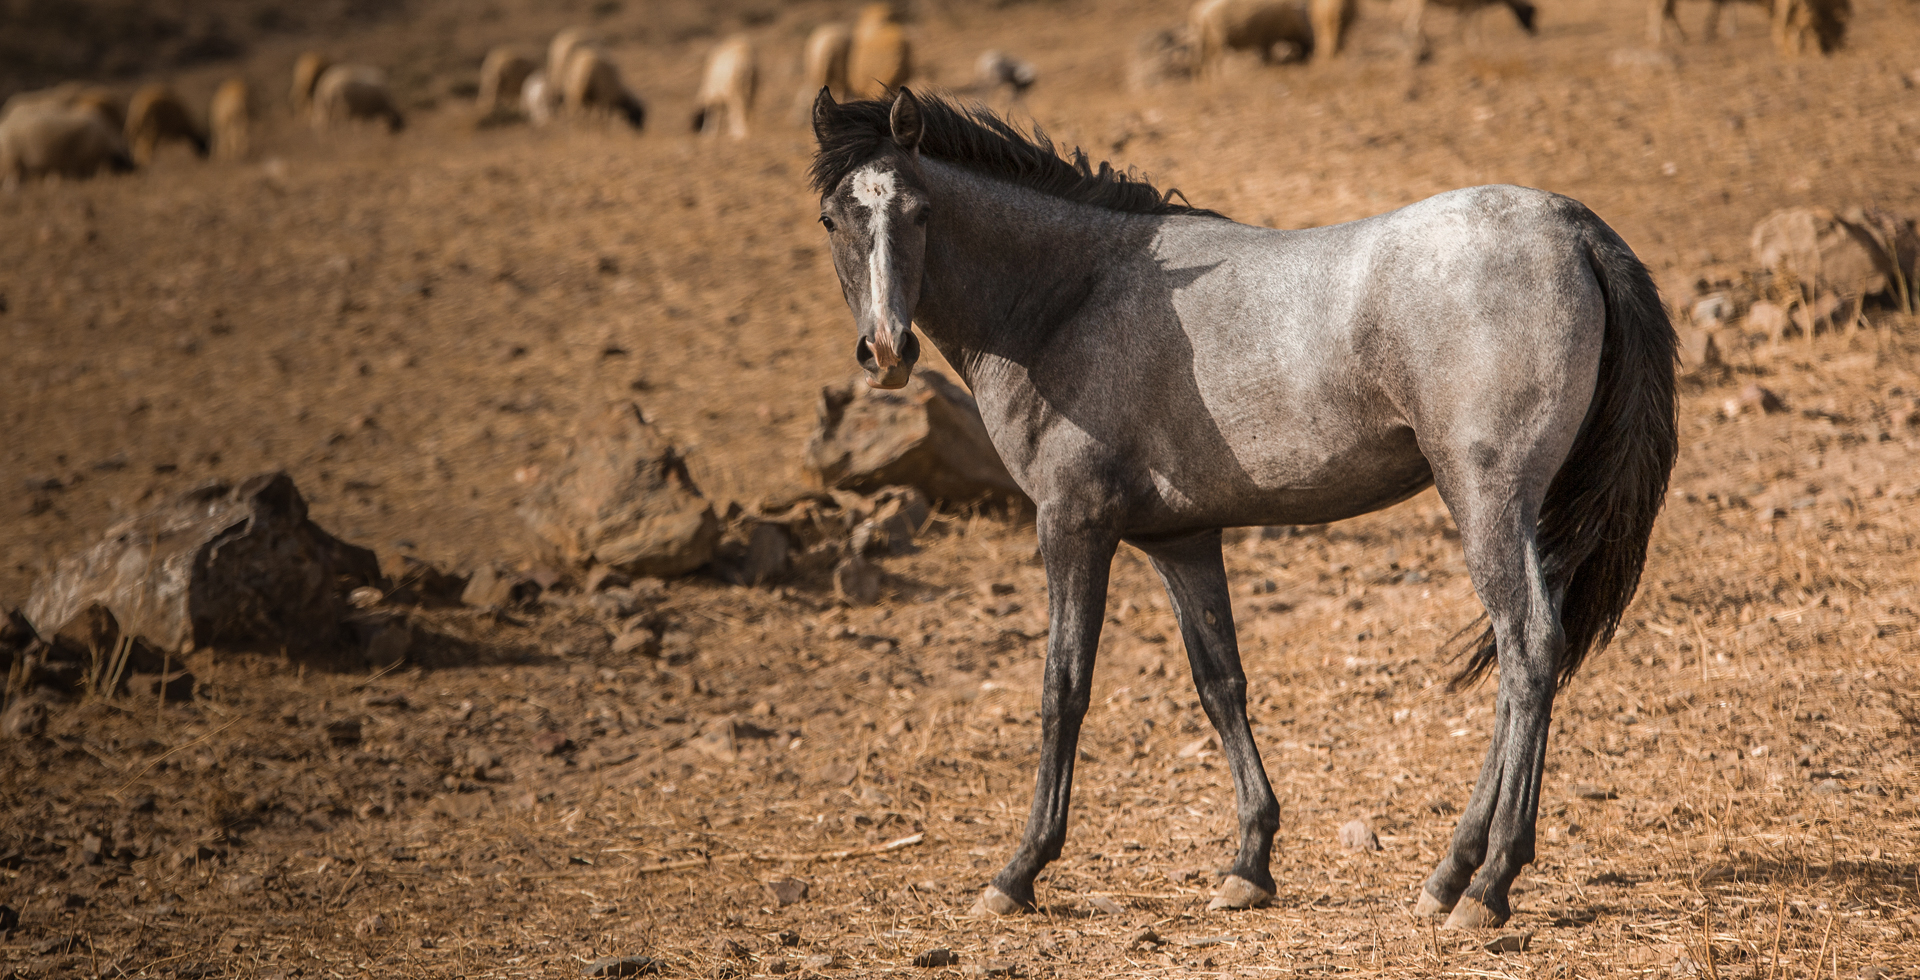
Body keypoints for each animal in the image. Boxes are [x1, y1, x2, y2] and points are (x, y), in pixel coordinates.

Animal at [807, 89, 1677, 929]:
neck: (1071, 298)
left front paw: (1018, 872)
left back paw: (1488, 886)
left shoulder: (1073, 526)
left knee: (1528, 649)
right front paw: (1249, 866)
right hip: (1526, 514)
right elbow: (1220, 681)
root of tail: (1573, 227)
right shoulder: (1182, 540)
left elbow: (1064, 687)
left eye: (921, 212)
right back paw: (1448, 875)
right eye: (833, 219)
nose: (886, 352)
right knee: (1518, 661)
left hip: (1487, 499)